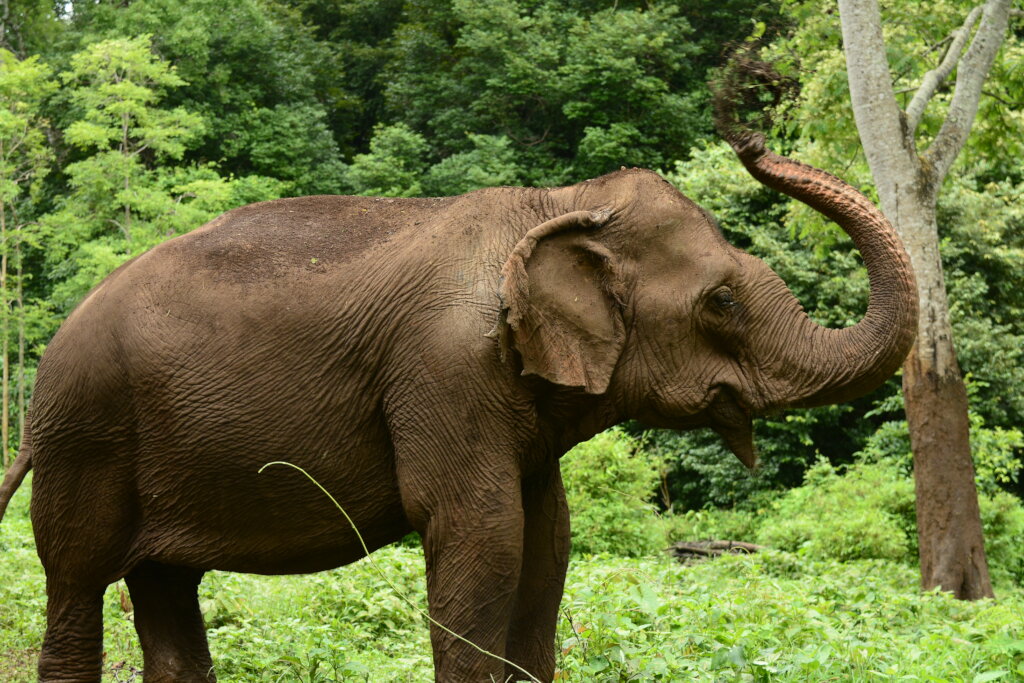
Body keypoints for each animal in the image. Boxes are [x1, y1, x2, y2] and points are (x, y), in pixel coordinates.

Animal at [0, 131, 916, 682]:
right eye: (721, 302)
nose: (751, 135)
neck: (556, 200)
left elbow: (548, 541)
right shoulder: (444, 372)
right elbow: (482, 533)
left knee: (164, 586)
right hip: (88, 436)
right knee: (77, 580)